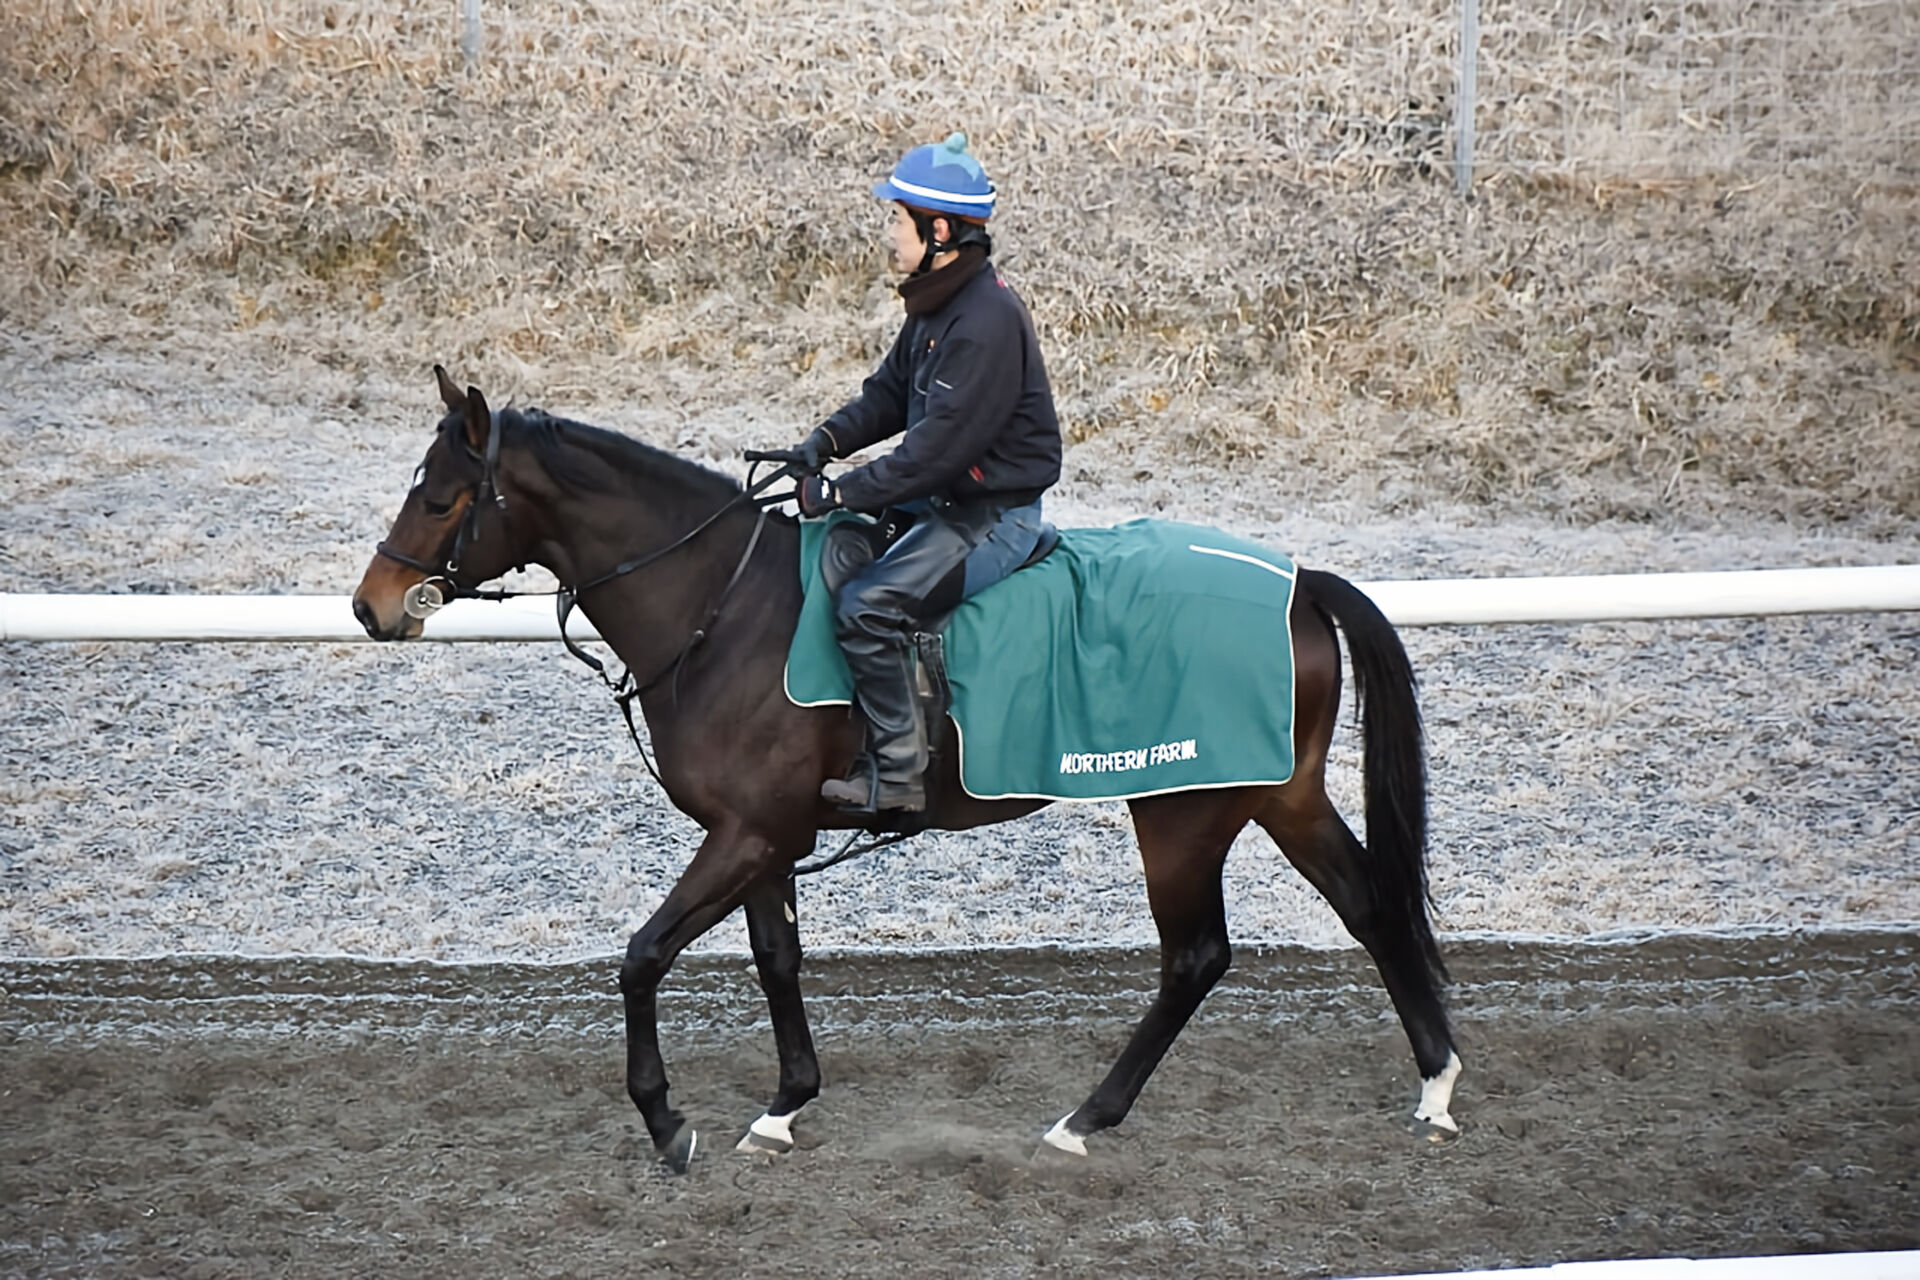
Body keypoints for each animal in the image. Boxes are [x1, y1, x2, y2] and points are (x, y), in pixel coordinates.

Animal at [353, 368, 1459, 1174]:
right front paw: (785, 1104)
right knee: (1370, 906)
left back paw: (1085, 1118)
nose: (372, 605)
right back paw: (1437, 1083)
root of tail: (1298, 583)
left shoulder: (747, 834)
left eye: (442, 496)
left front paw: (668, 1121)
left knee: (1197, 956)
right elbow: (776, 958)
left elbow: (642, 955)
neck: (723, 605)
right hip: (1278, 793)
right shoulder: (765, 838)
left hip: (1181, 811)